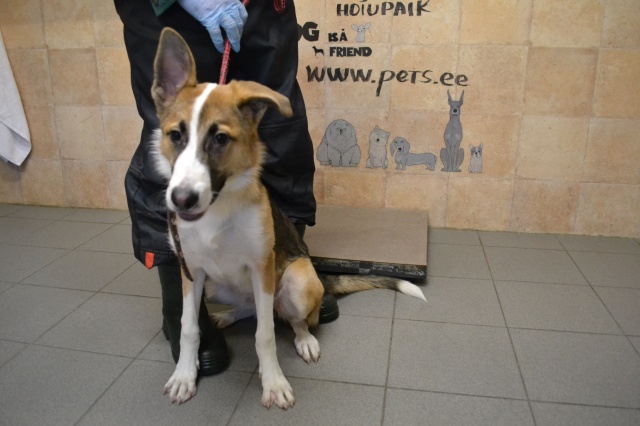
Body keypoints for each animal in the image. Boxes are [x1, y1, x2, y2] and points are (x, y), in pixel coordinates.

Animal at [150, 28, 426, 409]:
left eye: (220, 138)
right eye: (175, 135)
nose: (180, 200)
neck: (218, 213)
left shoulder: (261, 268)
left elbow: (265, 335)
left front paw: (274, 383)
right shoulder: (191, 270)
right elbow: (189, 327)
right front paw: (184, 375)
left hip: (296, 282)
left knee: (293, 321)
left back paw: (304, 339)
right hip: (217, 285)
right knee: (250, 310)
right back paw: (226, 315)